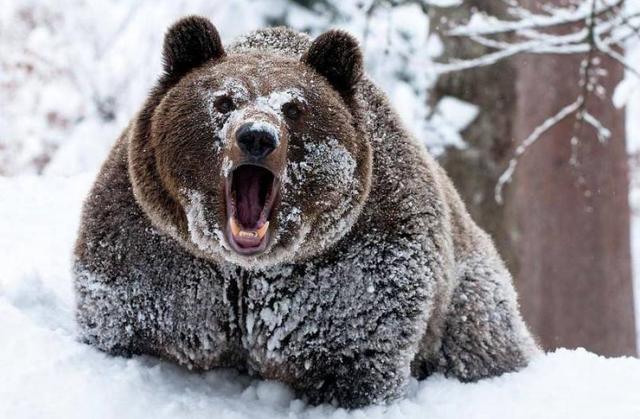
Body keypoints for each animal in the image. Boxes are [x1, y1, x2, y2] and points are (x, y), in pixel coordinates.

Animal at [72, 17, 536, 410]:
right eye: (224, 100)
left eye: (294, 108)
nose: (257, 136)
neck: (246, 270)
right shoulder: (158, 250)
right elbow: (125, 316)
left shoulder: (353, 266)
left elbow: (356, 351)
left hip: (468, 295)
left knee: (481, 342)